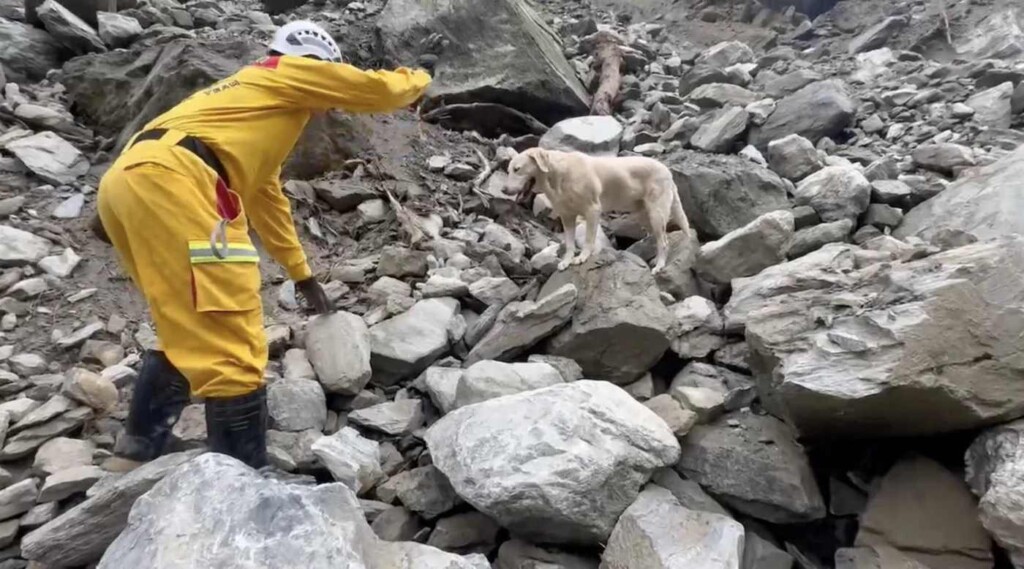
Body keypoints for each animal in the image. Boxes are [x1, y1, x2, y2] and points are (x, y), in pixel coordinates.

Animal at [501, 147, 692, 274]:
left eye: (517, 169)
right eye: (508, 170)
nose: (503, 189)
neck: (558, 176)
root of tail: (667, 171)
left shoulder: (592, 210)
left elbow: (588, 239)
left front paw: (583, 257)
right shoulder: (567, 217)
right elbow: (569, 243)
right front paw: (566, 261)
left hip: (656, 213)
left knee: (664, 241)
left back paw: (659, 265)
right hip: (643, 215)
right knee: (658, 238)